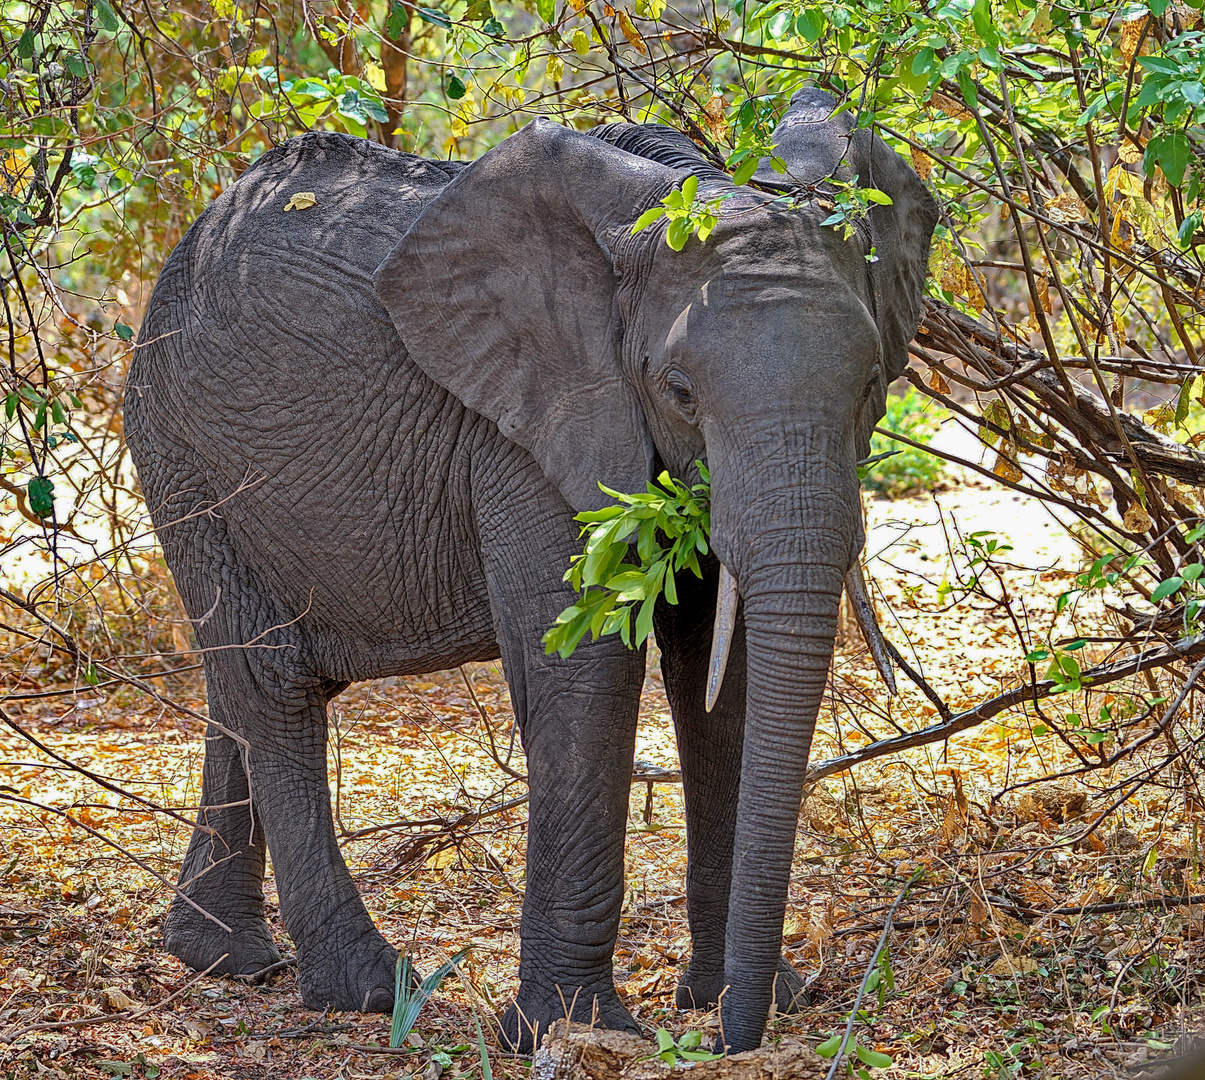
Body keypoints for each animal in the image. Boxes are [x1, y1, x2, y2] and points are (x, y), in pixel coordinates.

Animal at [127, 88, 939, 1051]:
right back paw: (370, 991)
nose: (732, 1037)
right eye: (679, 391)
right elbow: (584, 667)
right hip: (185, 454)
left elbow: (725, 674)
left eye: (870, 387)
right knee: (275, 683)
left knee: (242, 682)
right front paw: (573, 1029)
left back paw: (223, 959)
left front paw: (738, 997)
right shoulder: (529, 429)